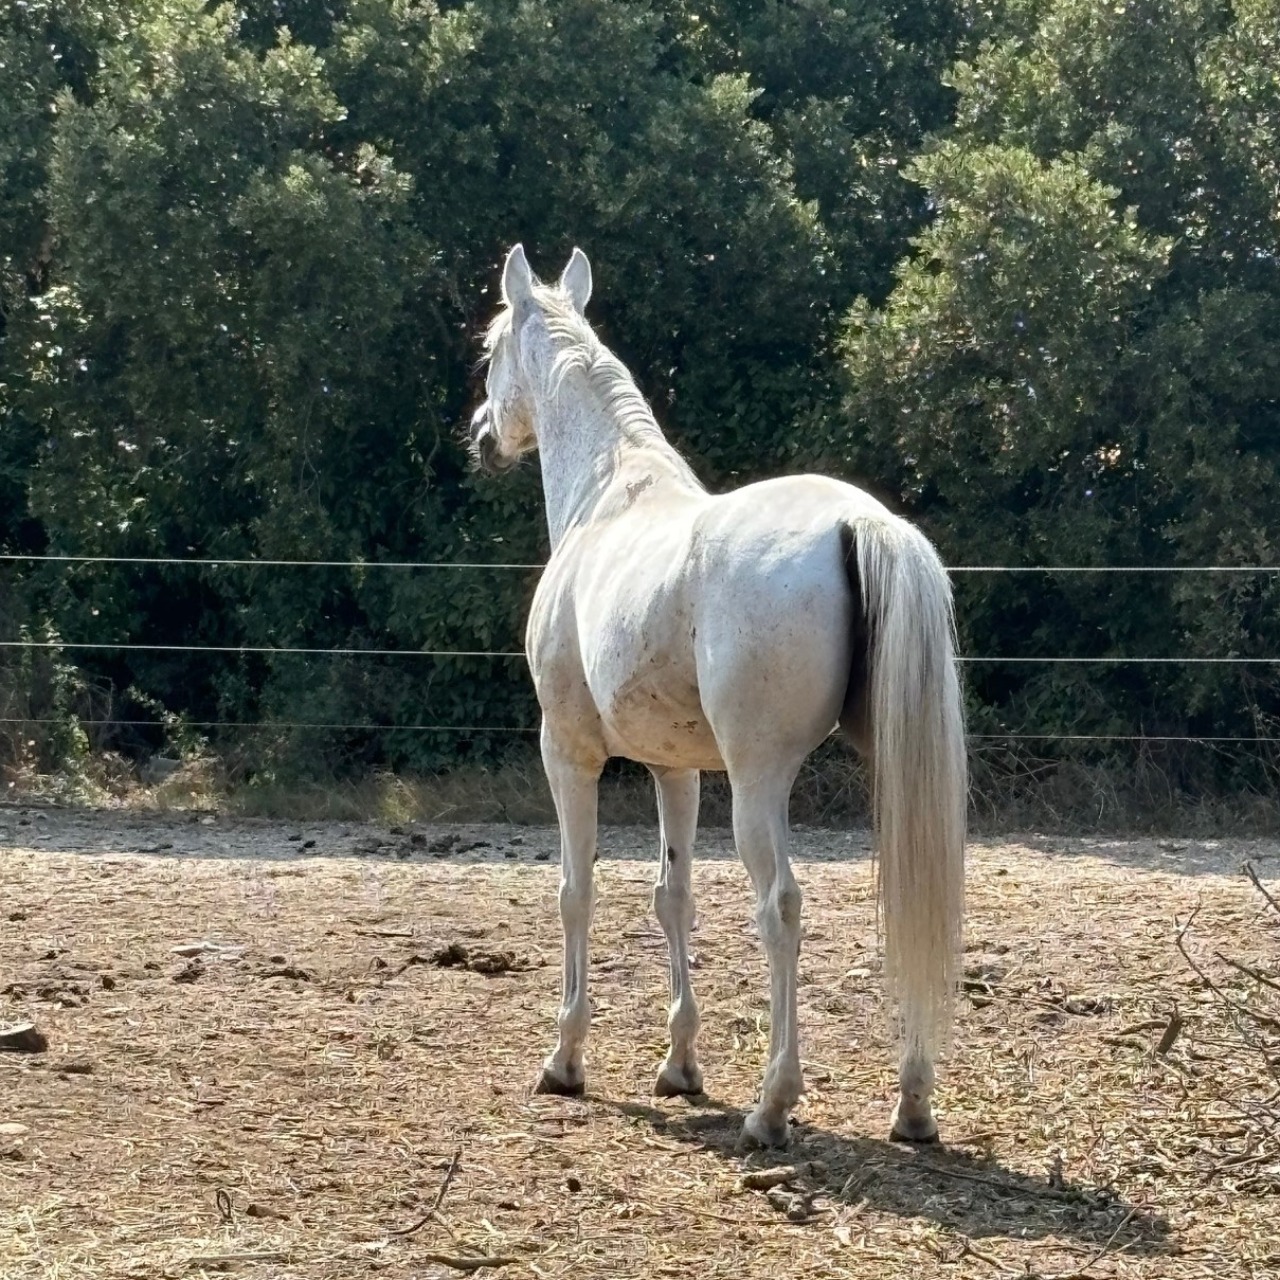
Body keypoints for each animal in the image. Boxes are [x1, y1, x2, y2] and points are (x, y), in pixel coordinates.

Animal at [468, 244, 962, 1146]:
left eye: (491, 349)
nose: (484, 436)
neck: (608, 496)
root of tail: (862, 526)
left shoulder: (569, 752)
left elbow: (576, 892)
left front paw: (565, 1060)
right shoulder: (677, 771)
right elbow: (673, 897)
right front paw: (680, 1066)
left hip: (760, 780)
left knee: (781, 907)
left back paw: (772, 1106)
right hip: (890, 772)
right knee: (911, 905)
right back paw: (912, 1104)